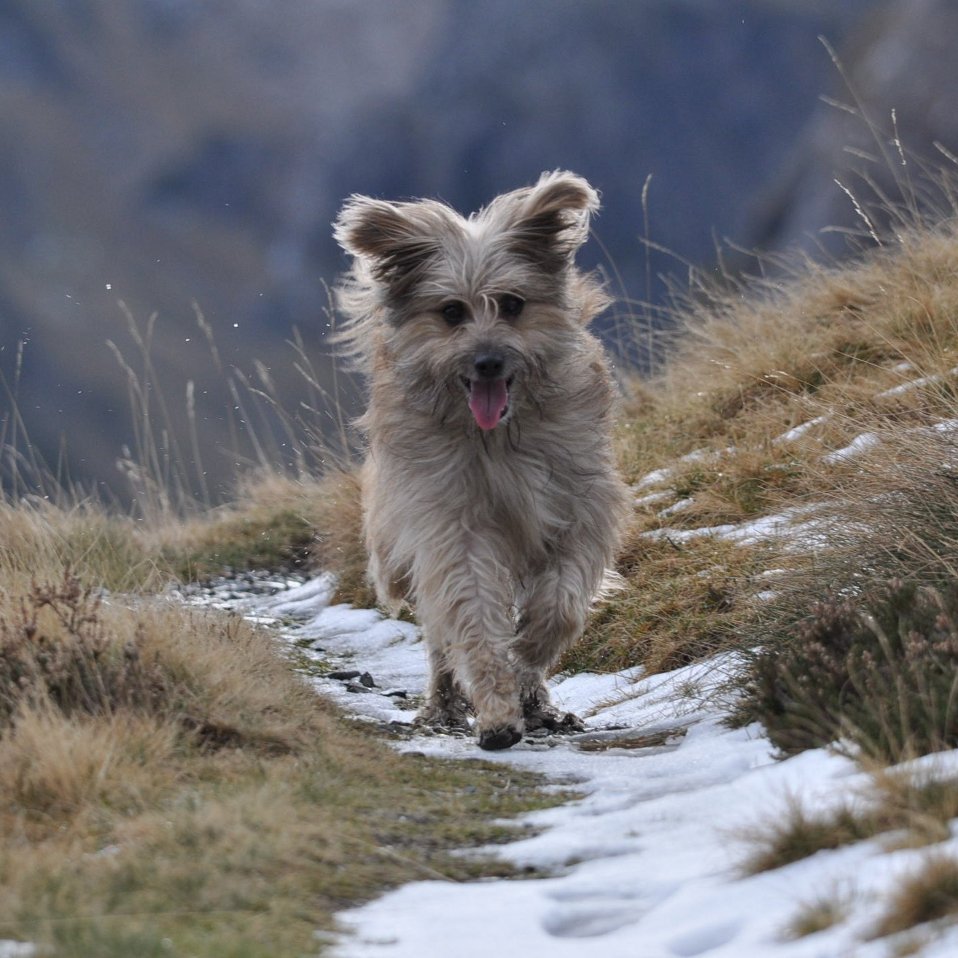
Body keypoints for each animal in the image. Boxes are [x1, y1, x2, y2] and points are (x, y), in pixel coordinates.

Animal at [336, 171, 632, 752]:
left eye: (513, 304)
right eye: (452, 312)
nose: (488, 361)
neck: (496, 439)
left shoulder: (577, 506)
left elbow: (559, 605)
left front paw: (527, 657)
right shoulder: (452, 526)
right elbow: (471, 616)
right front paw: (496, 710)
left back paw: (537, 702)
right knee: (440, 637)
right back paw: (447, 703)